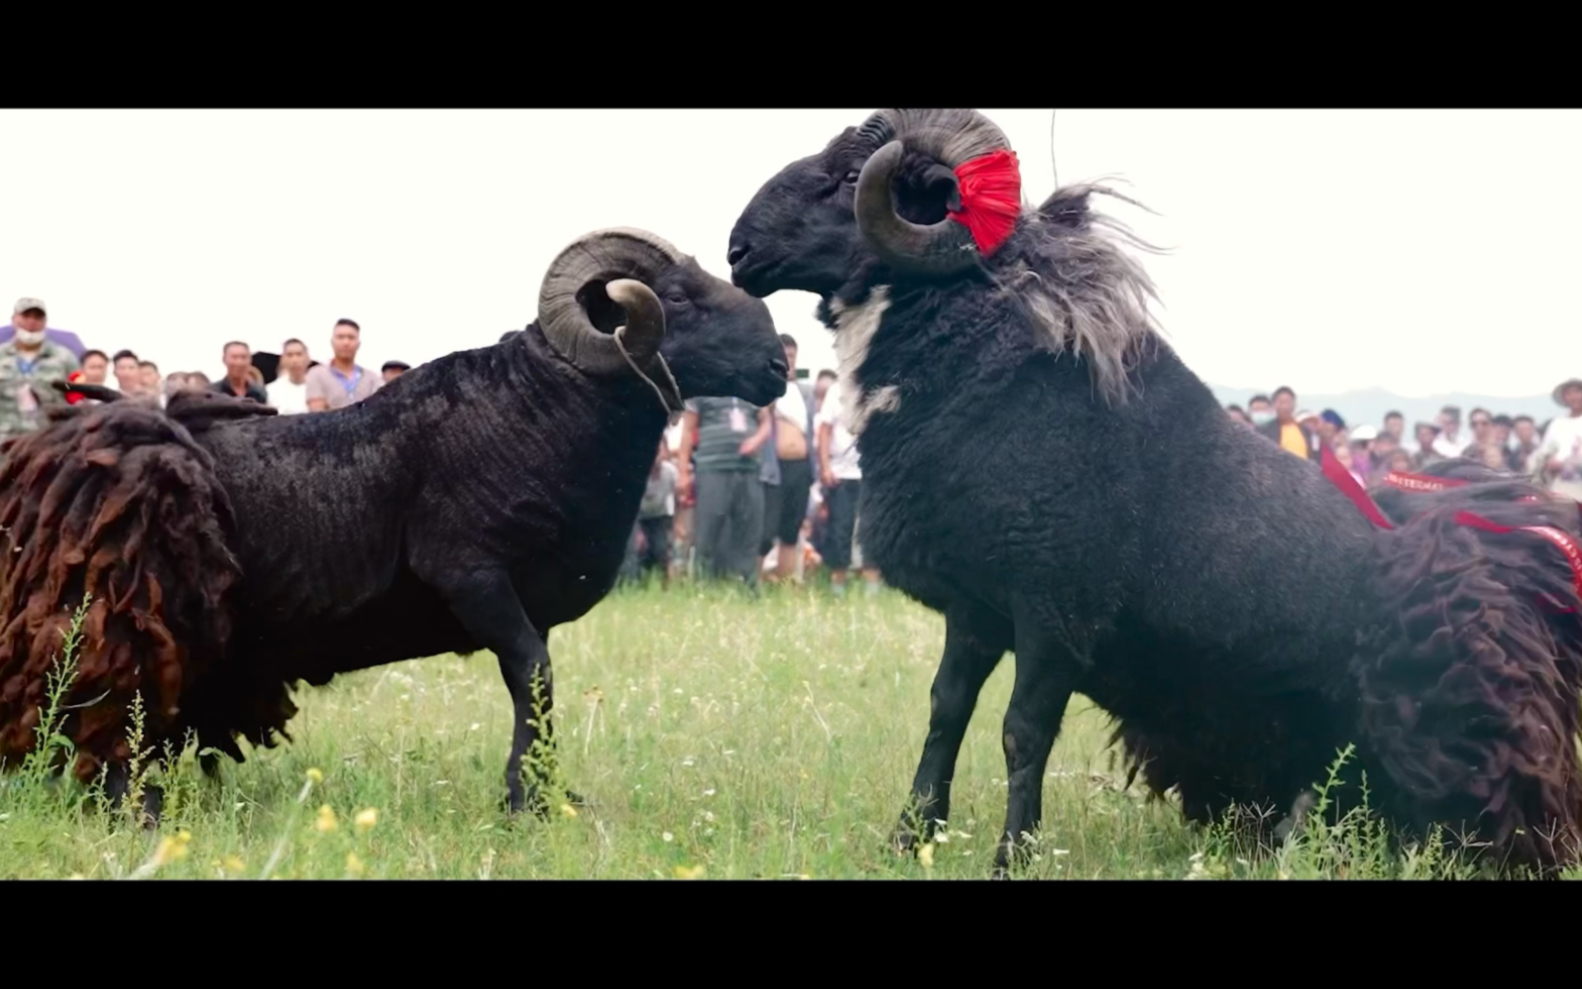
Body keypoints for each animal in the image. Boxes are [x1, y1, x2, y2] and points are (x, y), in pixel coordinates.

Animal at [0, 227, 791, 822]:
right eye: (679, 296)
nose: (780, 364)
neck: (539, 408)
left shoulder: (520, 601)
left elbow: (531, 685)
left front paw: (544, 792)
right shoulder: (471, 575)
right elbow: (533, 675)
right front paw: (527, 802)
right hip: (118, 610)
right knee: (107, 704)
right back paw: (137, 811)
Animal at [724, 107, 1582, 873]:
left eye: (847, 179)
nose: (737, 248)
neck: (985, 364)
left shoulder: (1054, 609)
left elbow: (1021, 731)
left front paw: (1012, 856)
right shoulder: (976, 608)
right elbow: (945, 714)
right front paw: (910, 840)